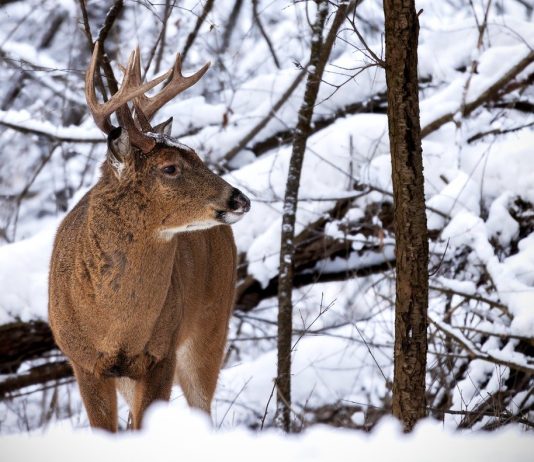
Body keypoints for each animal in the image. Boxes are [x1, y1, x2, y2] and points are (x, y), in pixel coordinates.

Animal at [48, 41, 251, 432]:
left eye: (197, 155)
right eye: (170, 167)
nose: (239, 198)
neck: (115, 326)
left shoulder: (161, 353)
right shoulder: (83, 361)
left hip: (212, 325)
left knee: (202, 407)